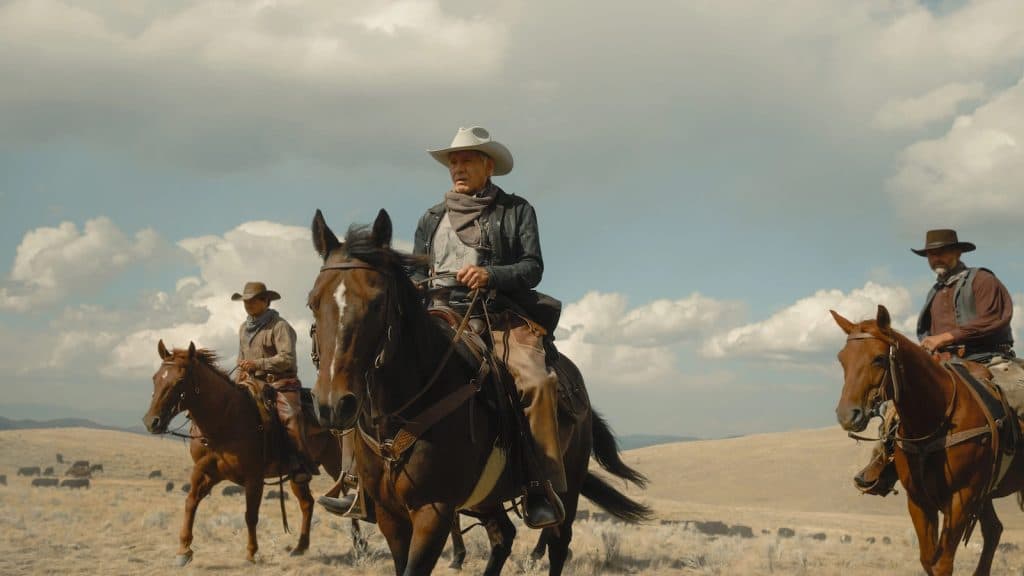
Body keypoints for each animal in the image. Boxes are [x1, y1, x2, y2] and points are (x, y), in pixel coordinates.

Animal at [143, 340, 360, 565]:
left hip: (336, 465)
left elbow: (251, 515)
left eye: (180, 380)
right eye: (155, 378)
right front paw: (183, 551)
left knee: (348, 496)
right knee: (307, 503)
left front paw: (251, 552)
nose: (152, 421)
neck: (225, 419)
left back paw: (358, 545)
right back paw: (300, 547)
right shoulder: (205, 473)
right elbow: (190, 502)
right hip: (298, 474)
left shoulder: (253, 477)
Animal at [307, 207, 651, 573]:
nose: (333, 405)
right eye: (313, 301)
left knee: (558, 543)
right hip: (487, 499)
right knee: (504, 536)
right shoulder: (390, 516)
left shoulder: (433, 512)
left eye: (376, 301)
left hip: (567, 487)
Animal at [831, 303, 1024, 569]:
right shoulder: (919, 500)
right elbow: (927, 559)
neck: (935, 418)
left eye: (879, 358)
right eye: (842, 359)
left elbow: (942, 563)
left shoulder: (961, 499)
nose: (847, 415)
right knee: (993, 530)